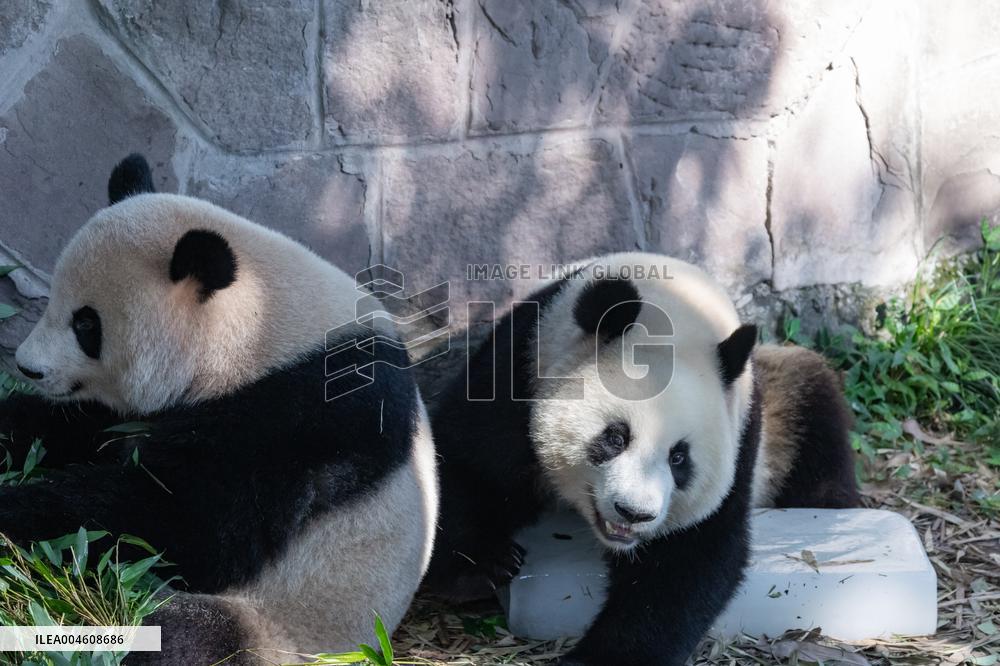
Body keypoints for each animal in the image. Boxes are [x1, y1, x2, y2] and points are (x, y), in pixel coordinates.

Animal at [5, 155, 438, 664]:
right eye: (54, 299)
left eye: (86, 324)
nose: (27, 367)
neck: (260, 322)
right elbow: (74, 429)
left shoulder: (302, 414)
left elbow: (183, 524)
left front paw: (15, 510)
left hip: (287, 624)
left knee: (189, 634)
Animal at [421, 253, 857, 665]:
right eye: (615, 437)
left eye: (679, 458)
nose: (634, 513)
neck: (675, 306)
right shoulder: (522, 363)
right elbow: (469, 461)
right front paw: (481, 566)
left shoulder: (741, 434)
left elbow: (688, 556)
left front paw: (601, 658)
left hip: (782, 414)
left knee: (813, 405)